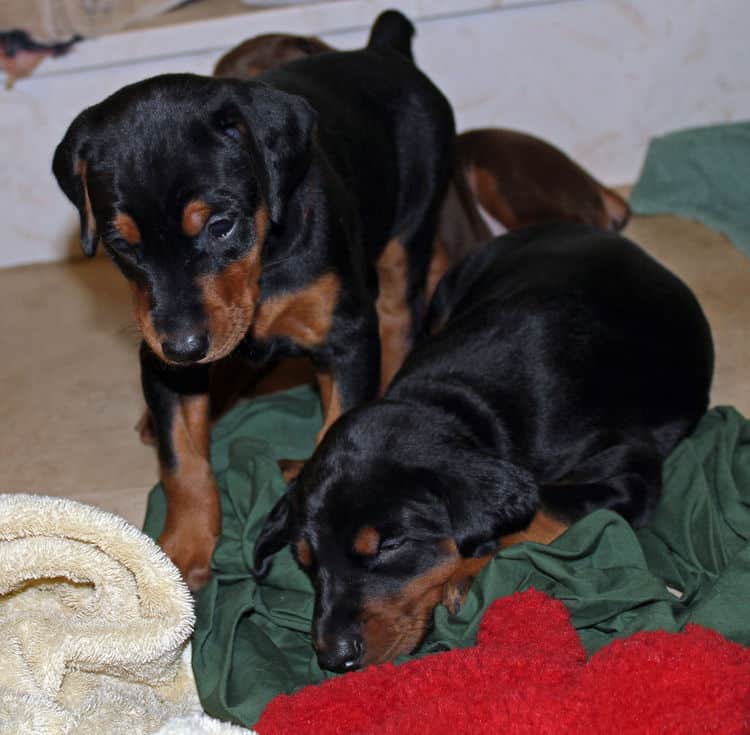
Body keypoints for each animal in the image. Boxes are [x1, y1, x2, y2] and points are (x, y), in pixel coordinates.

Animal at [53, 10, 456, 588]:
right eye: (121, 244)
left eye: (221, 225)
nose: (183, 346)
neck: (267, 260)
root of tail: (380, 50)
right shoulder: (162, 360)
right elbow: (182, 463)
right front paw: (183, 551)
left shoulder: (347, 338)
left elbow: (336, 425)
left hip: (411, 226)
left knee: (400, 316)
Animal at [254, 223, 716, 672]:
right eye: (306, 562)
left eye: (390, 546)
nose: (333, 657)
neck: (455, 405)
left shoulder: (632, 472)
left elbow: (541, 507)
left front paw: (466, 571)